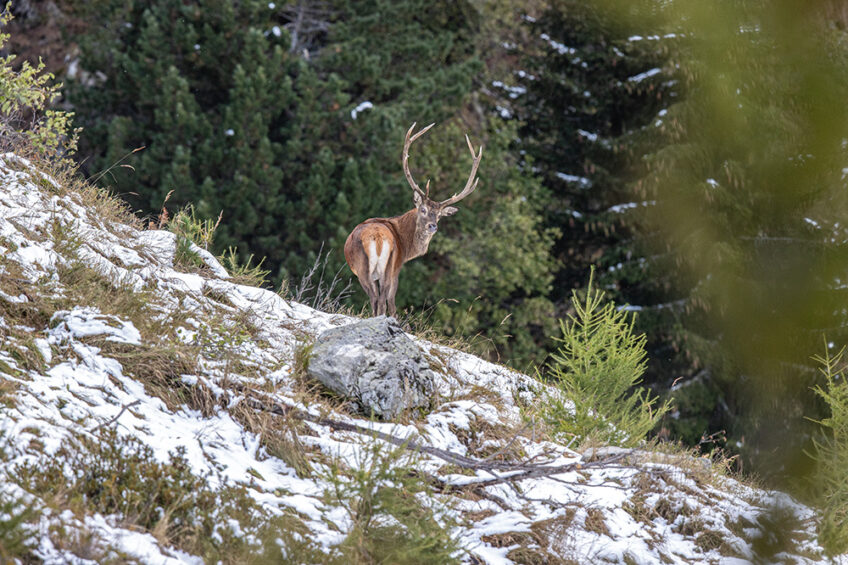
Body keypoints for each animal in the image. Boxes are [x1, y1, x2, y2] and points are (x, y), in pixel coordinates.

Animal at [344, 122, 483, 317]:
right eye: (423, 209)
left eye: (439, 215)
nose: (433, 226)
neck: (406, 244)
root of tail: (377, 238)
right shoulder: (395, 266)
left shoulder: (394, 268)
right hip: (382, 268)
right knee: (381, 300)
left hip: (372, 270)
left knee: (378, 300)